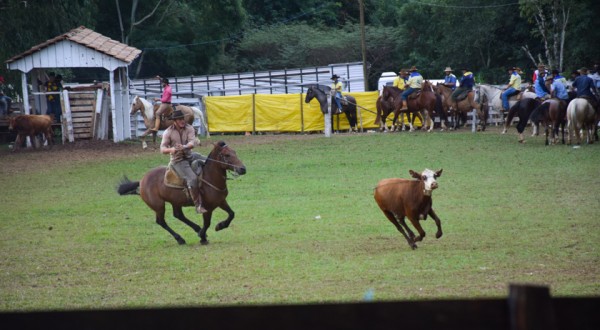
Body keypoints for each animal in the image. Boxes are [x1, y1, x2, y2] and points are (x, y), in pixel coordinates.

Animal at [117, 141, 246, 244]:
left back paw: (196, 229)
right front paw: (203, 237)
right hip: (158, 206)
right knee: (161, 221)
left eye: (234, 152)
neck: (209, 177)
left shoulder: (221, 201)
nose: (243, 169)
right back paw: (180, 239)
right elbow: (207, 223)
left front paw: (219, 226)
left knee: (178, 215)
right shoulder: (207, 208)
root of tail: (142, 180)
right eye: (227, 155)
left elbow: (232, 214)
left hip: (175, 202)